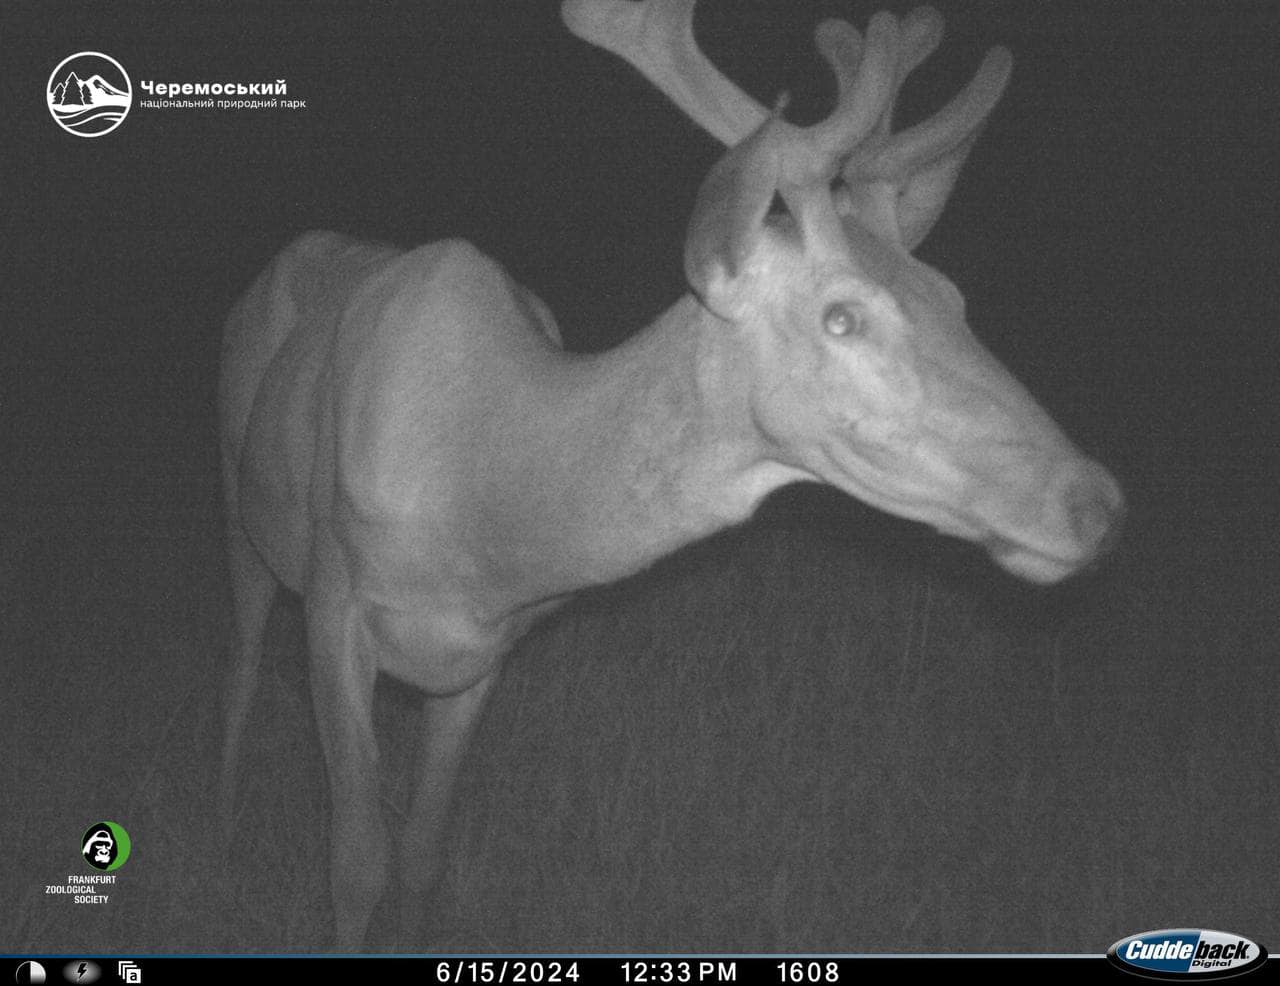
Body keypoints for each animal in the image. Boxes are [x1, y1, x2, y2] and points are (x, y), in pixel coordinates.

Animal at [215, 0, 1126, 942]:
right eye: (842, 316)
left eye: (952, 297)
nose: (1095, 504)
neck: (484, 501)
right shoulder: (336, 605)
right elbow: (356, 864)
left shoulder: (482, 656)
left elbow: (422, 857)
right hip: (237, 496)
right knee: (240, 662)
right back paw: (221, 825)